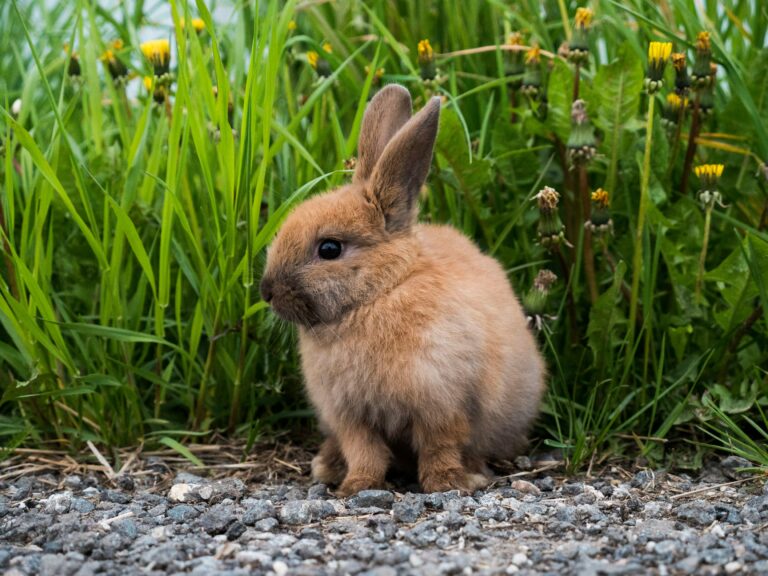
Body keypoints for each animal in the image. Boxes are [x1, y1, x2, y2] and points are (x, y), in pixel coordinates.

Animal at [260, 84, 548, 496]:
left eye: (329, 249)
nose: (266, 291)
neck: (379, 295)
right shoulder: (351, 417)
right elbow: (364, 452)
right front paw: (356, 486)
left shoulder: (442, 403)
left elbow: (439, 446)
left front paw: (447, 483)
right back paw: (327, 466)